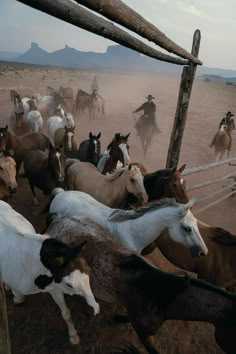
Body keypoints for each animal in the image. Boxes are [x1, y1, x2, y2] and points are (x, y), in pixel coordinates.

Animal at [0, 201, 99, 344]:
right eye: (70, 285)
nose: (95, 309)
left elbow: (66, 313)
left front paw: (73, 335)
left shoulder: (55, 286)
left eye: (89, 272)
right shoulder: (18, 289)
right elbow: (19, 299)